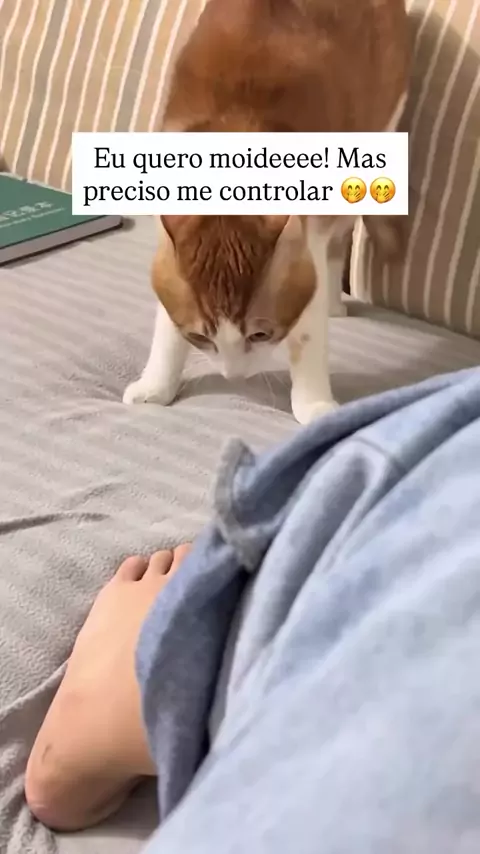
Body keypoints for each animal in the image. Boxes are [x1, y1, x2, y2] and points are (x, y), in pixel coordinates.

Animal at [123, 0, 410, 425]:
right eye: (200, 336)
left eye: (261, 334)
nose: (233, 376)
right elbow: (166, 326)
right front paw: (156, 384)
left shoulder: (310, 246)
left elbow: (308, 331)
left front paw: (313, 404)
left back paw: (334, 303)